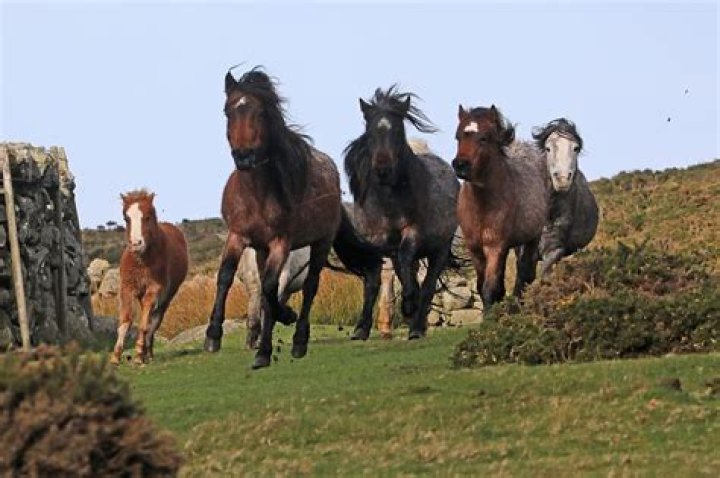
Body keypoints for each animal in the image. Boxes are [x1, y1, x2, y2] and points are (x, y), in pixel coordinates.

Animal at [111, 190, 188, 365]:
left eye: (147, 217)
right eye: (126, 218)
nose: (136, 243)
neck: (142, 260)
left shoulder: (154, 289)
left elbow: (145, 324)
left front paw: (139, 354)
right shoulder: (127, 288)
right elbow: (125, 321)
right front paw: (115, 356)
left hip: (166, 297)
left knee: (155, 321)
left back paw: (147, 353)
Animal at [204, 67, 343, 369]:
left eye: (260, 112)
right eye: (227, 111)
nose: (243, 157)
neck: (257, 194)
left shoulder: (281, 242)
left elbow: (270, 289)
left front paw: (282, 322)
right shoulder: (238, 236)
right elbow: (225, 277)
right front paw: (213, 335)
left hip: (321, 242)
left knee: (310, 287)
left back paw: (298, 340)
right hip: (260, 250)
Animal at [342, 86, 459, 340]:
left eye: (398, 130)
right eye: (370, 131)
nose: (383, 169)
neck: (390, 200)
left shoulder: (413, 233)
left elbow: (408, 265)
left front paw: (408, 305)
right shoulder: (376, 239)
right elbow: (372, 281)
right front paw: (361, 328)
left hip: (439, 250)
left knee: (428, 284)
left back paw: (416, 325)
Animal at [452, 105, 549, 310]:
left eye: (483, 138)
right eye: (458, 137)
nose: (460, 165)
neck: (482, 206)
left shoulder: (495, 247)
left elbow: (489, 289)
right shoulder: (476, 249)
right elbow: (482, 286)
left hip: (531, 239)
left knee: (525, 273)